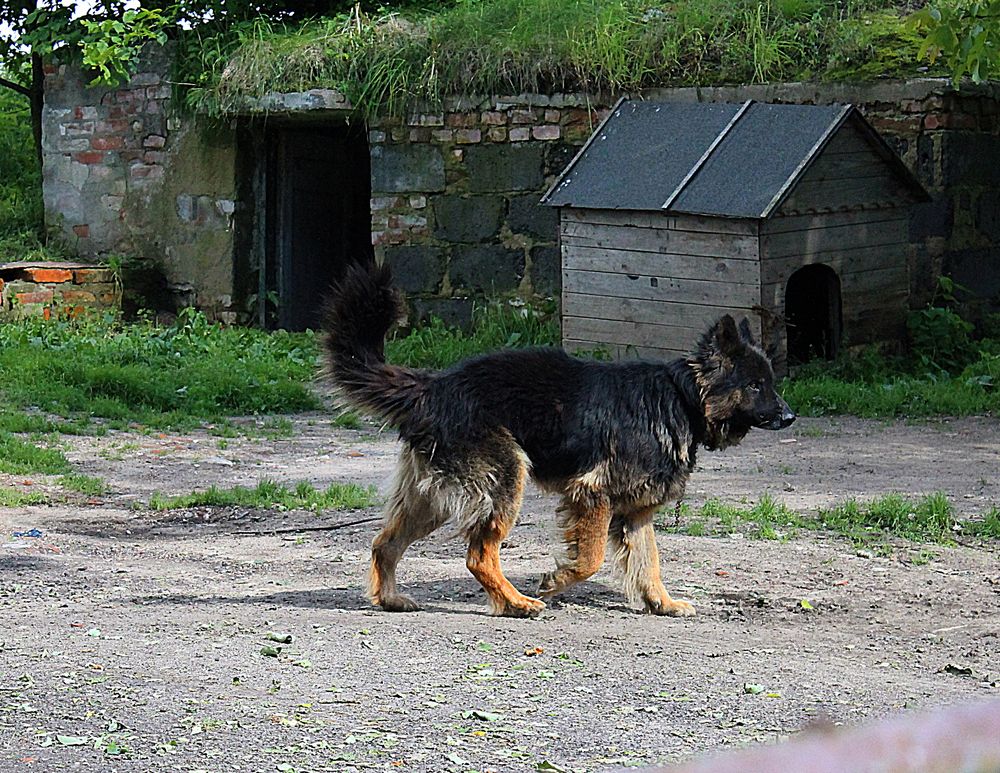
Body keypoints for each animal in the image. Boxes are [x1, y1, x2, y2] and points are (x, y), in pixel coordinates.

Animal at [324, 262, 792, 620]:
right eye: (755, 385)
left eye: (769, 383)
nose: (789, 416)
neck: (680, 398)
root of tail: (432, 387)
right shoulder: (592, 494)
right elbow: (591, 559)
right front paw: (555, 582)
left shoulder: (636, 512)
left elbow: (649, 563)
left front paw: (663, 603)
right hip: (503, 480)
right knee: (478, 555)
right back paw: (516, 603)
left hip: (433, 498)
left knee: (384, 543)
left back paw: (390, 598)